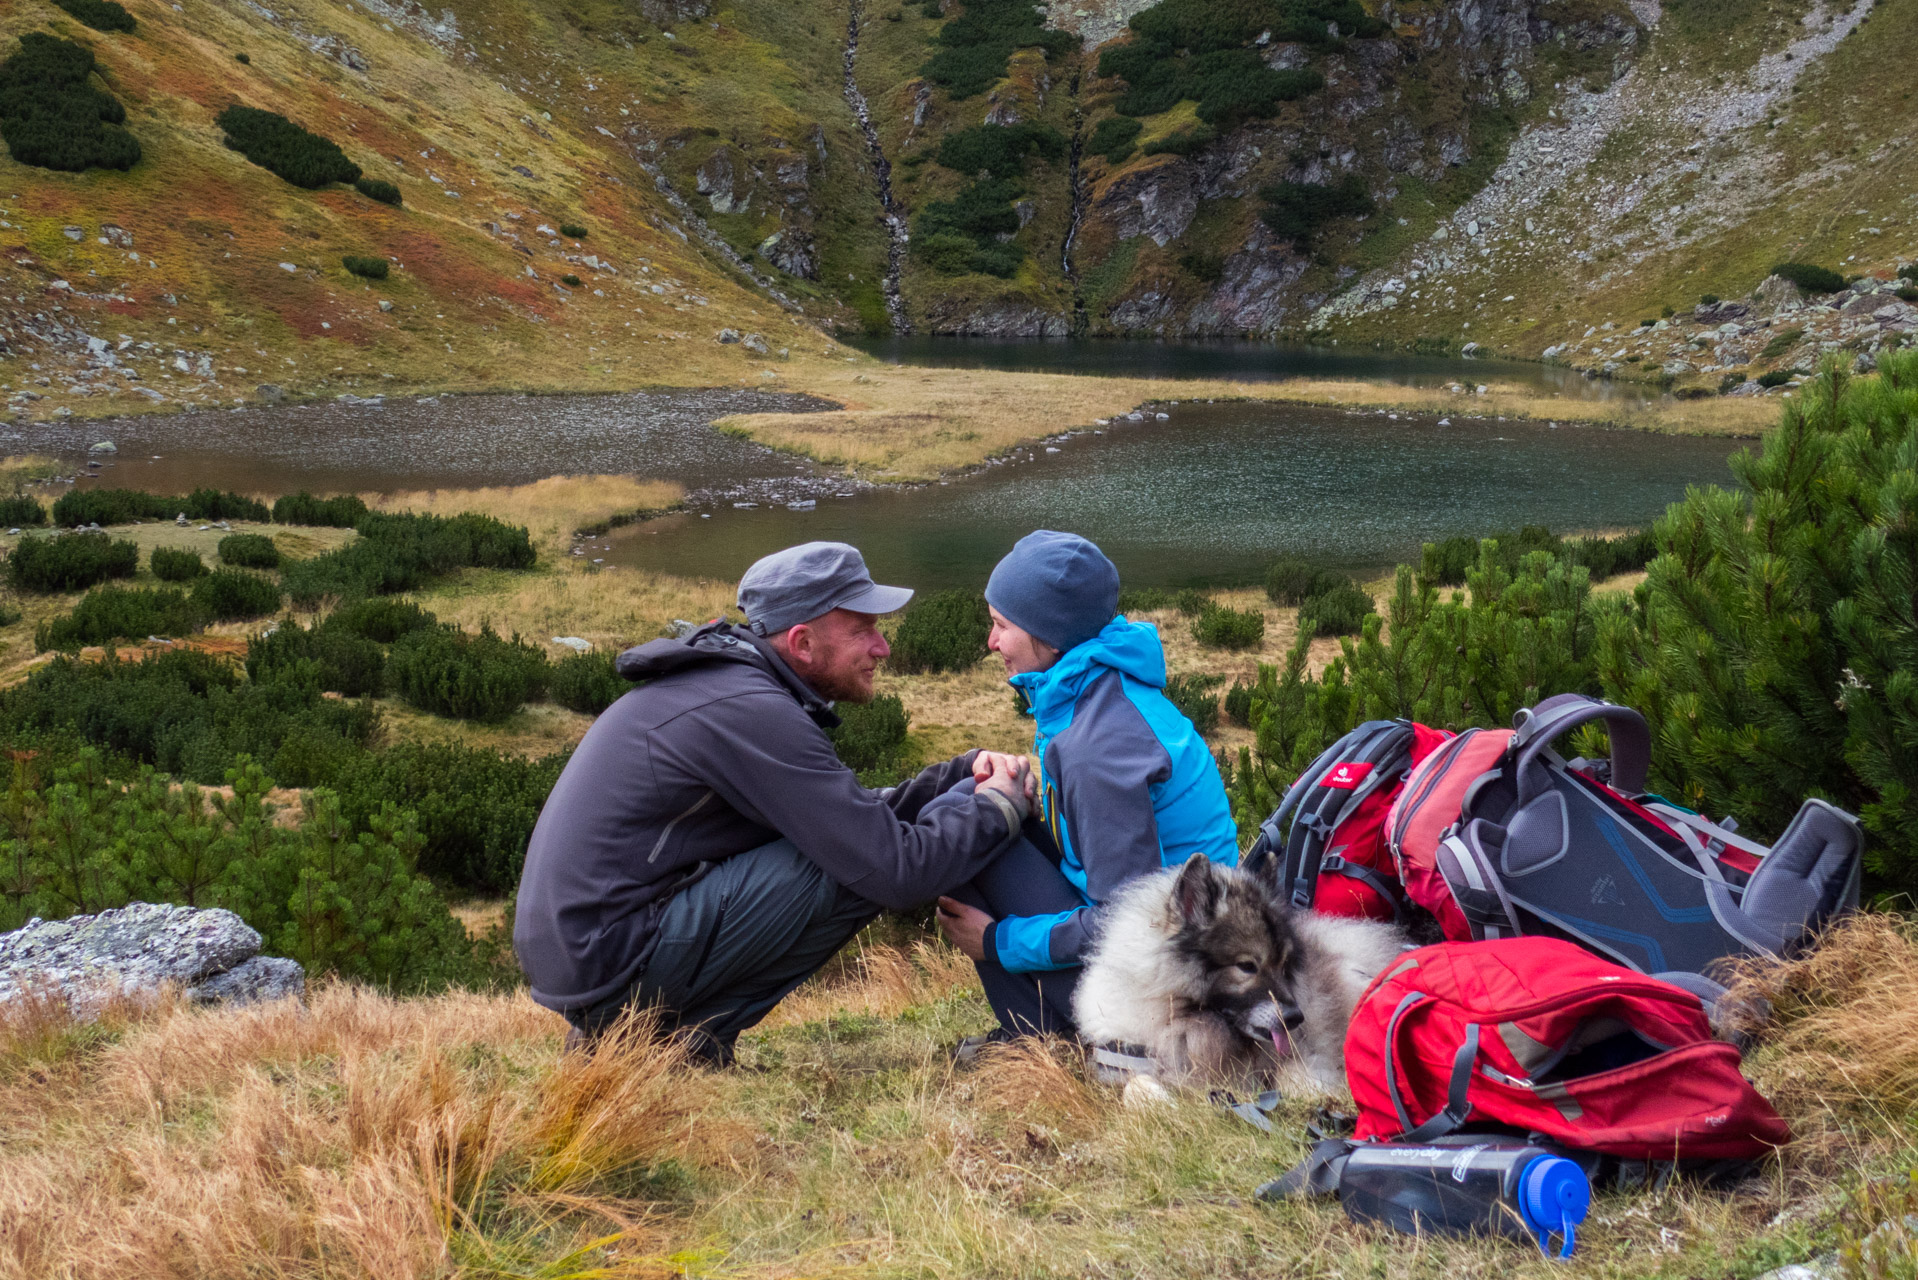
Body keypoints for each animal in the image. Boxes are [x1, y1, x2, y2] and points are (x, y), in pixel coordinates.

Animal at [1081, 855, 1411, 1090]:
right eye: (1247, 966)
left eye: (1283, 964)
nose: (1295, 1018)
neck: (1176, 1017)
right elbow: (1138, 1083)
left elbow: (1292, 1080)